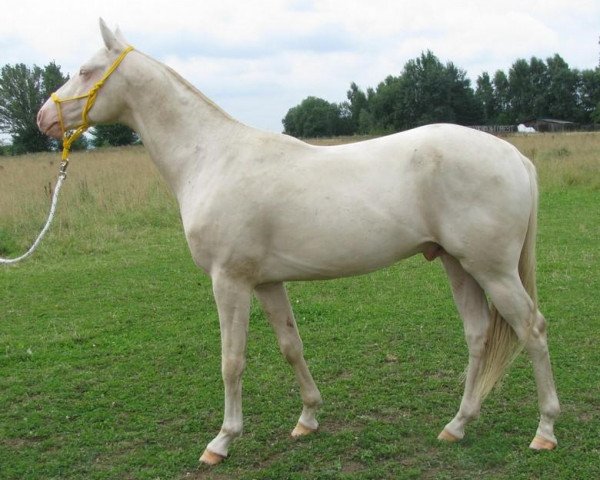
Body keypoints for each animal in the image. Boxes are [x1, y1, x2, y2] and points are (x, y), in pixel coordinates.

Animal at [38, 19, 564, 464]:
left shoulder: (229, 281)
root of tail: (514, 156)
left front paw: (222, 441)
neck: (211, 158)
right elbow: (292, 345)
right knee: (478, 335)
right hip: (458, 263)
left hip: (492, 269)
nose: (44, 118)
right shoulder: (267, 283)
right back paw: (457, 425)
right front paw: (308, 418)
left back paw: (544, 431)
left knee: (531, 329)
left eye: (85, 70)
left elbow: (232, 361)